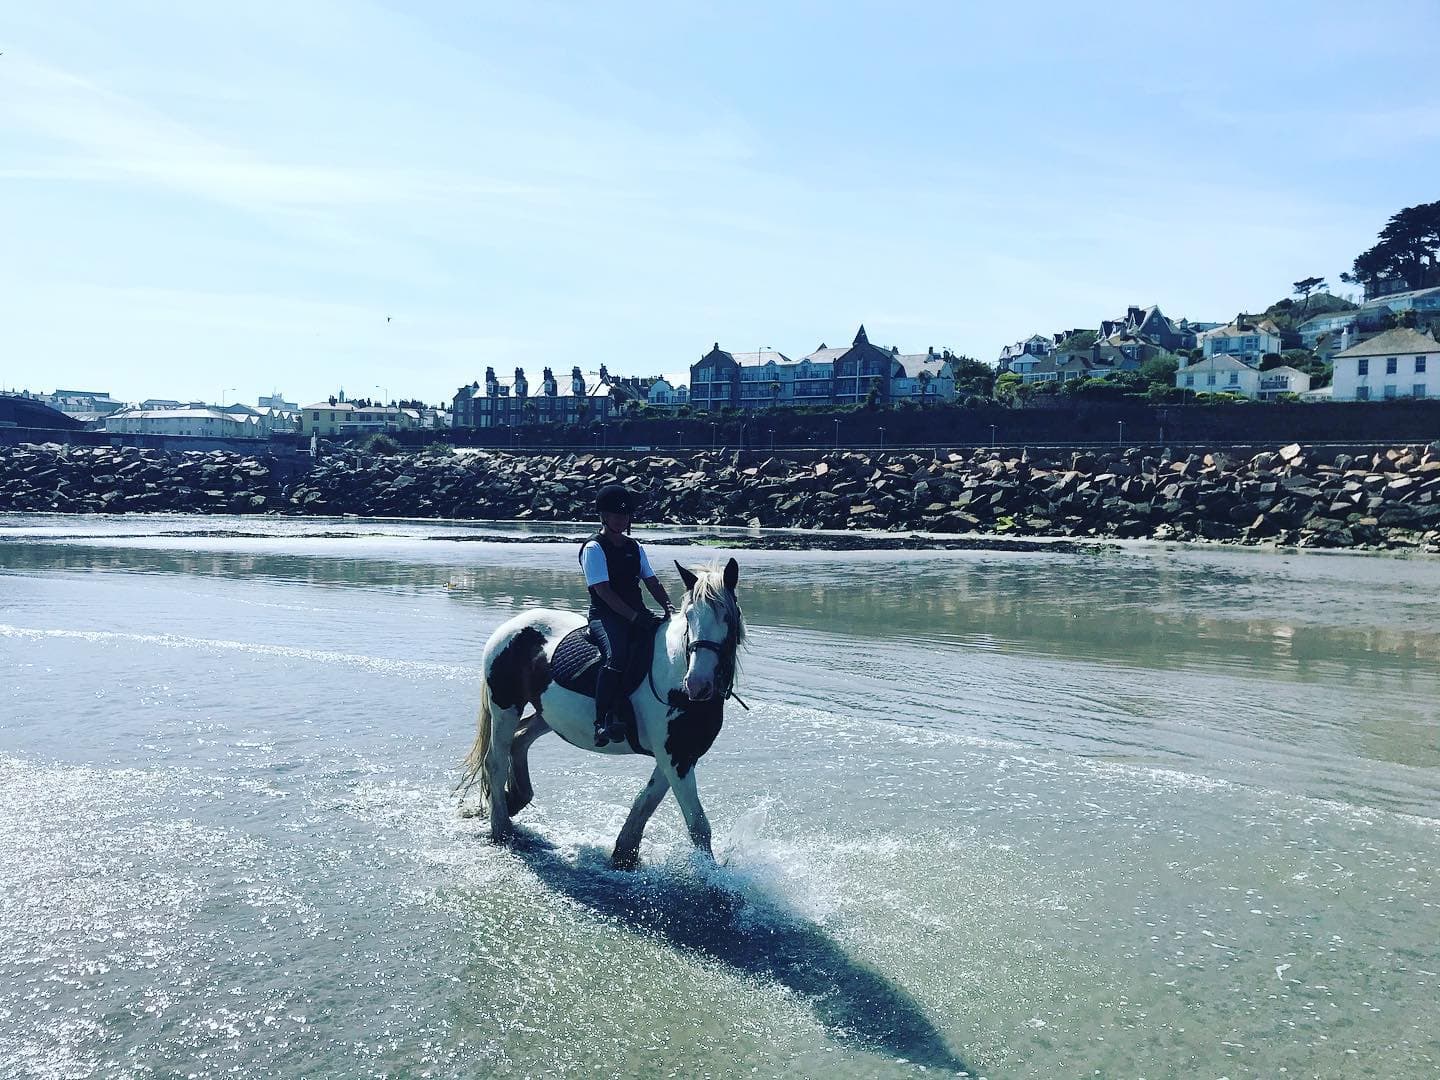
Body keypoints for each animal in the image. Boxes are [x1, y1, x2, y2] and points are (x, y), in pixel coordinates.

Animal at [458, 557, 745, 869]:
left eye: (727, 618)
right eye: (689, 617)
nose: (697, 684)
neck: (675, 675)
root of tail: (510, 627)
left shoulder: (679, 756)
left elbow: (646, 801)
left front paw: (624, 855)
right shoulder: (676, 758)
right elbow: (698, 825)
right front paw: (713, 878)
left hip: (549, 715)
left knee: (520, 739)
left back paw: (516, 800)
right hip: (505, 708)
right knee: (495, 761)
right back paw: (502, 829)